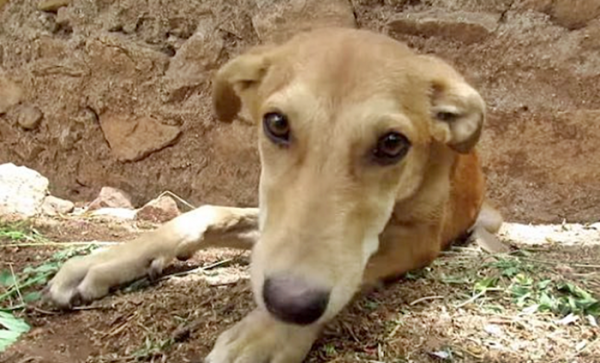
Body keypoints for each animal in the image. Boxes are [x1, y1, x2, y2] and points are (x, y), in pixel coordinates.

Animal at [45, 28, 502, 363]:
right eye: (277, 123)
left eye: (393, 144)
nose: (289, 305)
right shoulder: (269, 222)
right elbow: (204, 213)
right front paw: (105, 261)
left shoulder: (417, 240)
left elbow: (361, 266)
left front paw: (264, 335)